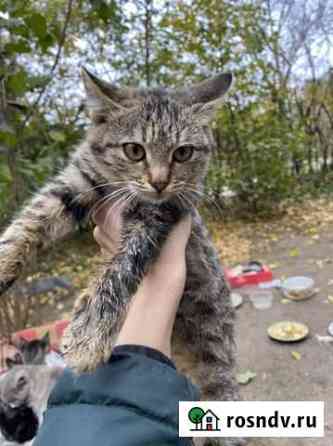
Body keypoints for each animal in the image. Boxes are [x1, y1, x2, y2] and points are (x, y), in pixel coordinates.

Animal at [0, 68, 243, 444]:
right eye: (134, 150)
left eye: (183, 153)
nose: (159, 182)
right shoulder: (77, 180)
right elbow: (31, 219)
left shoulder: (158, 216)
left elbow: (122, 266)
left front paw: (89, 333)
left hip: (215, 364)